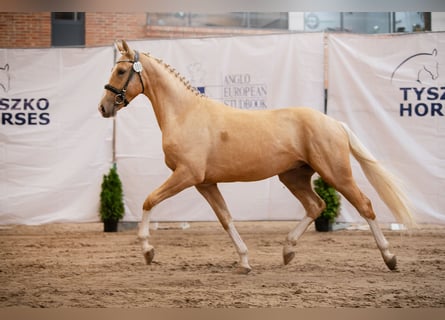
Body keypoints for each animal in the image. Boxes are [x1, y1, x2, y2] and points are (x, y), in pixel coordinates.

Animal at [98, 40, 412, 274]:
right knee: (316, 205)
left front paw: (148, 251)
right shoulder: (205, 183)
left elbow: (149, 200)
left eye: (121, 70)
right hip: (294, 176)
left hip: (336, 173)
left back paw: (390, 258)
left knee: (365, 205)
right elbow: (226, 218)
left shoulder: (187, 175)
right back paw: (287, 251)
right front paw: (245, 261)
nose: (103, 107)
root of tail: (333, 122)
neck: (185, 114)